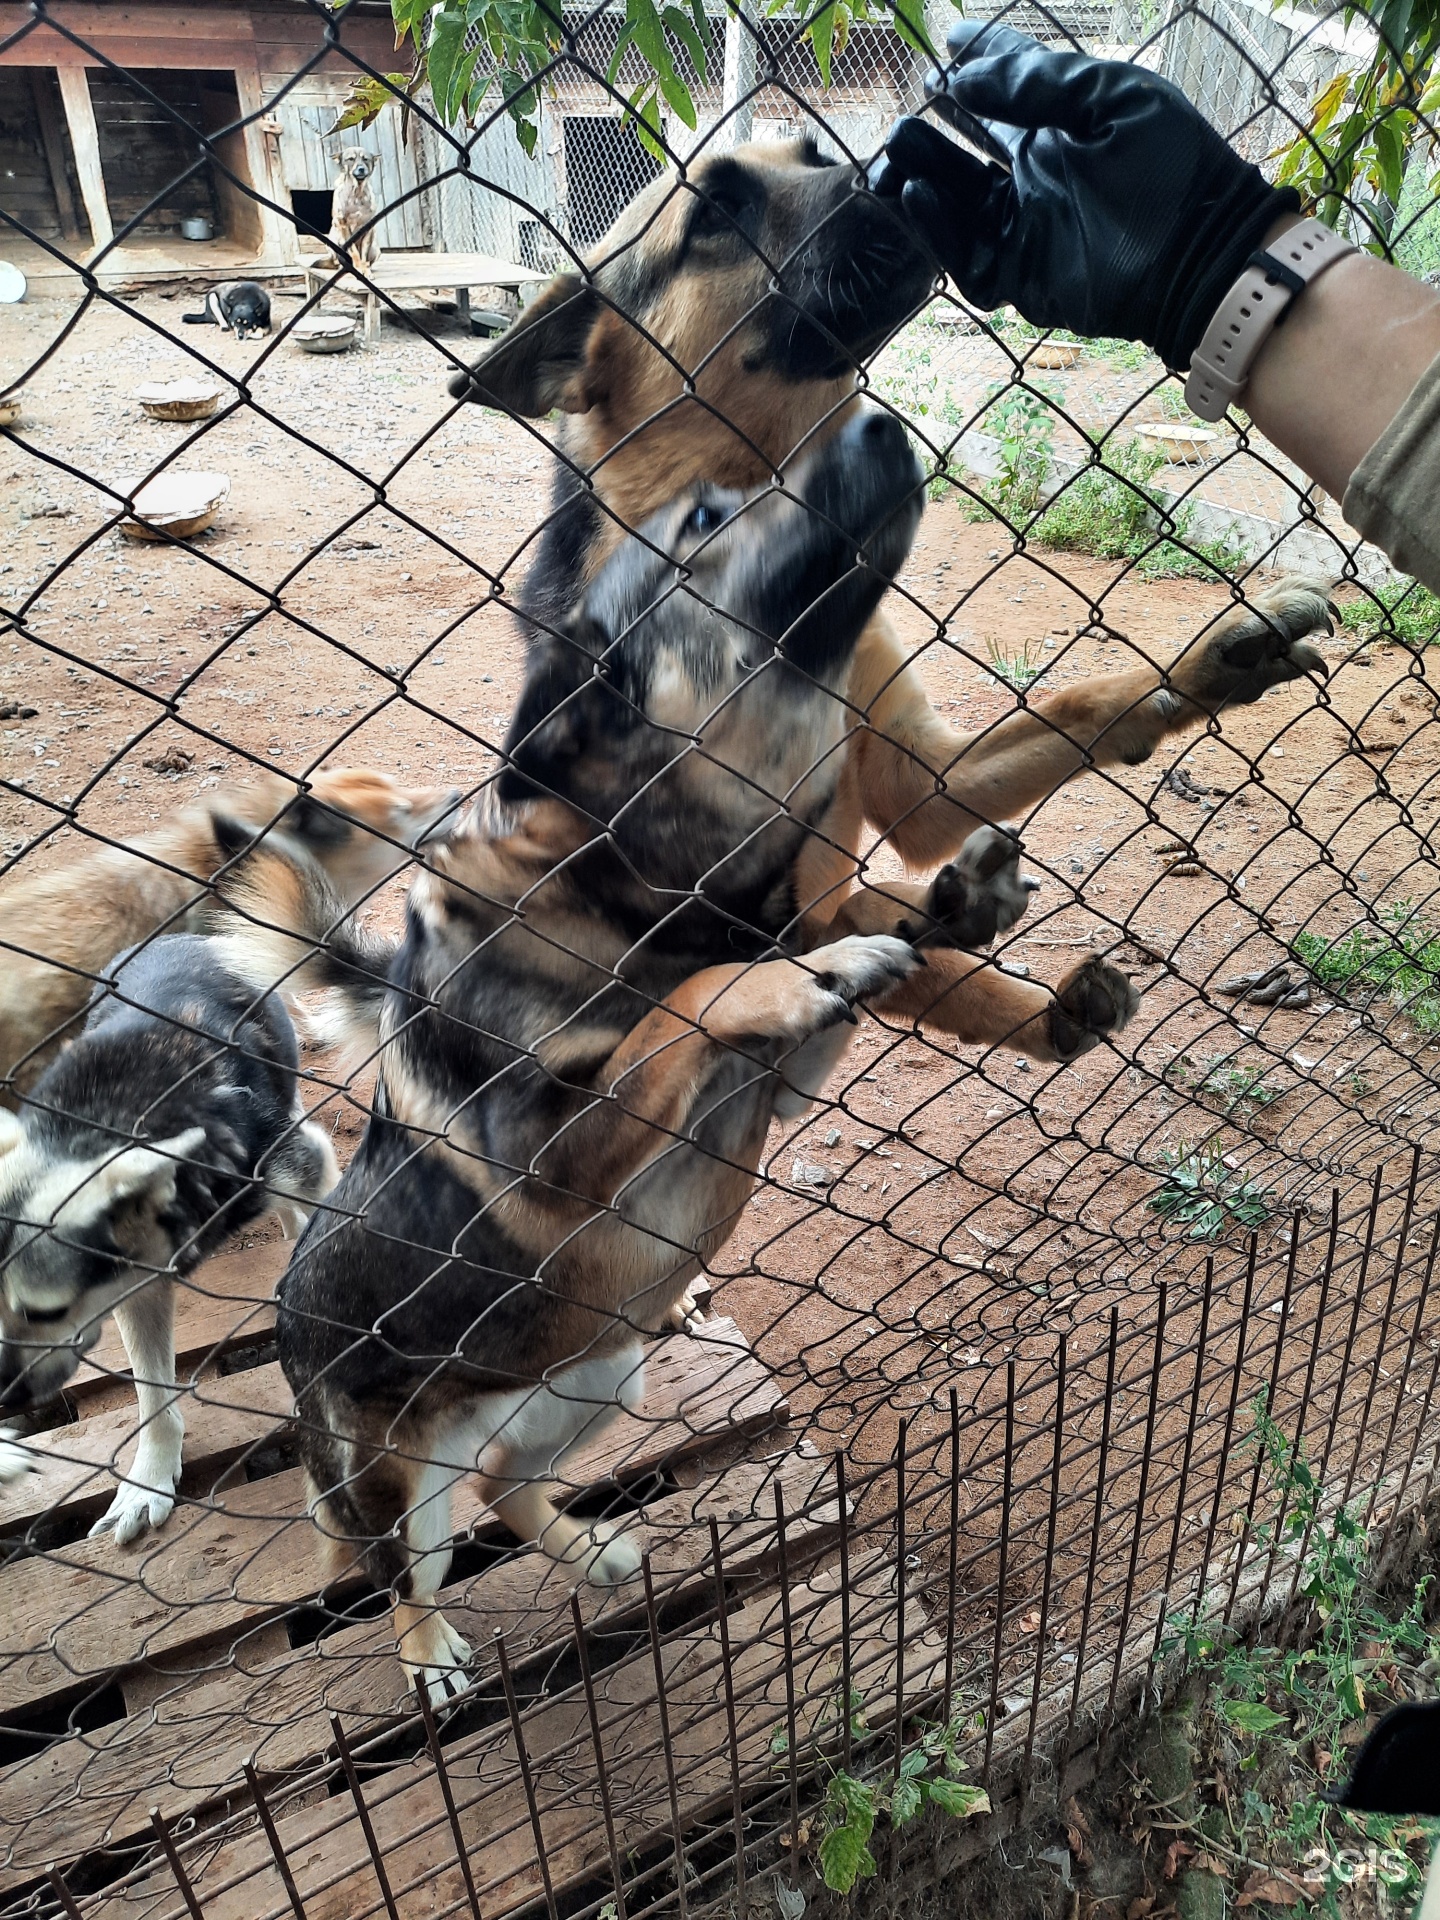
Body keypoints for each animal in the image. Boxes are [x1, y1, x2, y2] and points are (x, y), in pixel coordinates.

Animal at [0, 929, 337, 1543]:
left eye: (44, 1310)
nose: (5, 1399)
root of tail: (186, 935)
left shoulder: (304, 1162)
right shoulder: (136, 1283)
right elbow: (151, 1394)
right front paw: (147, 1482)